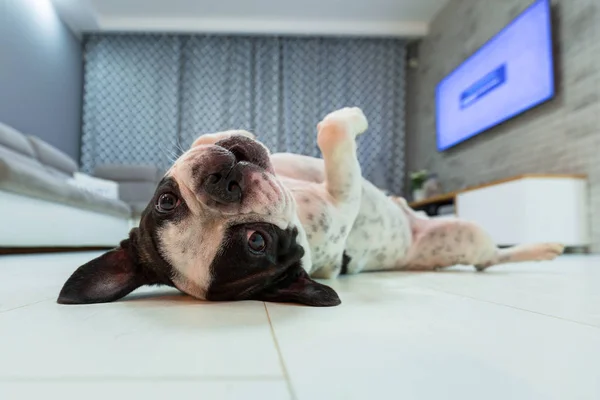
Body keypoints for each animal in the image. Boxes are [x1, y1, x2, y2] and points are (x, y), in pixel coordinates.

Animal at [56, 107, 564, 306]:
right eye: (256, 242)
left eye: (166, 201)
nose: (222, 183)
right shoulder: (343, 197)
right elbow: (336, 144)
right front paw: (347, 121)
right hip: (469, 237)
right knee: (491, 258)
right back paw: (542, 249)